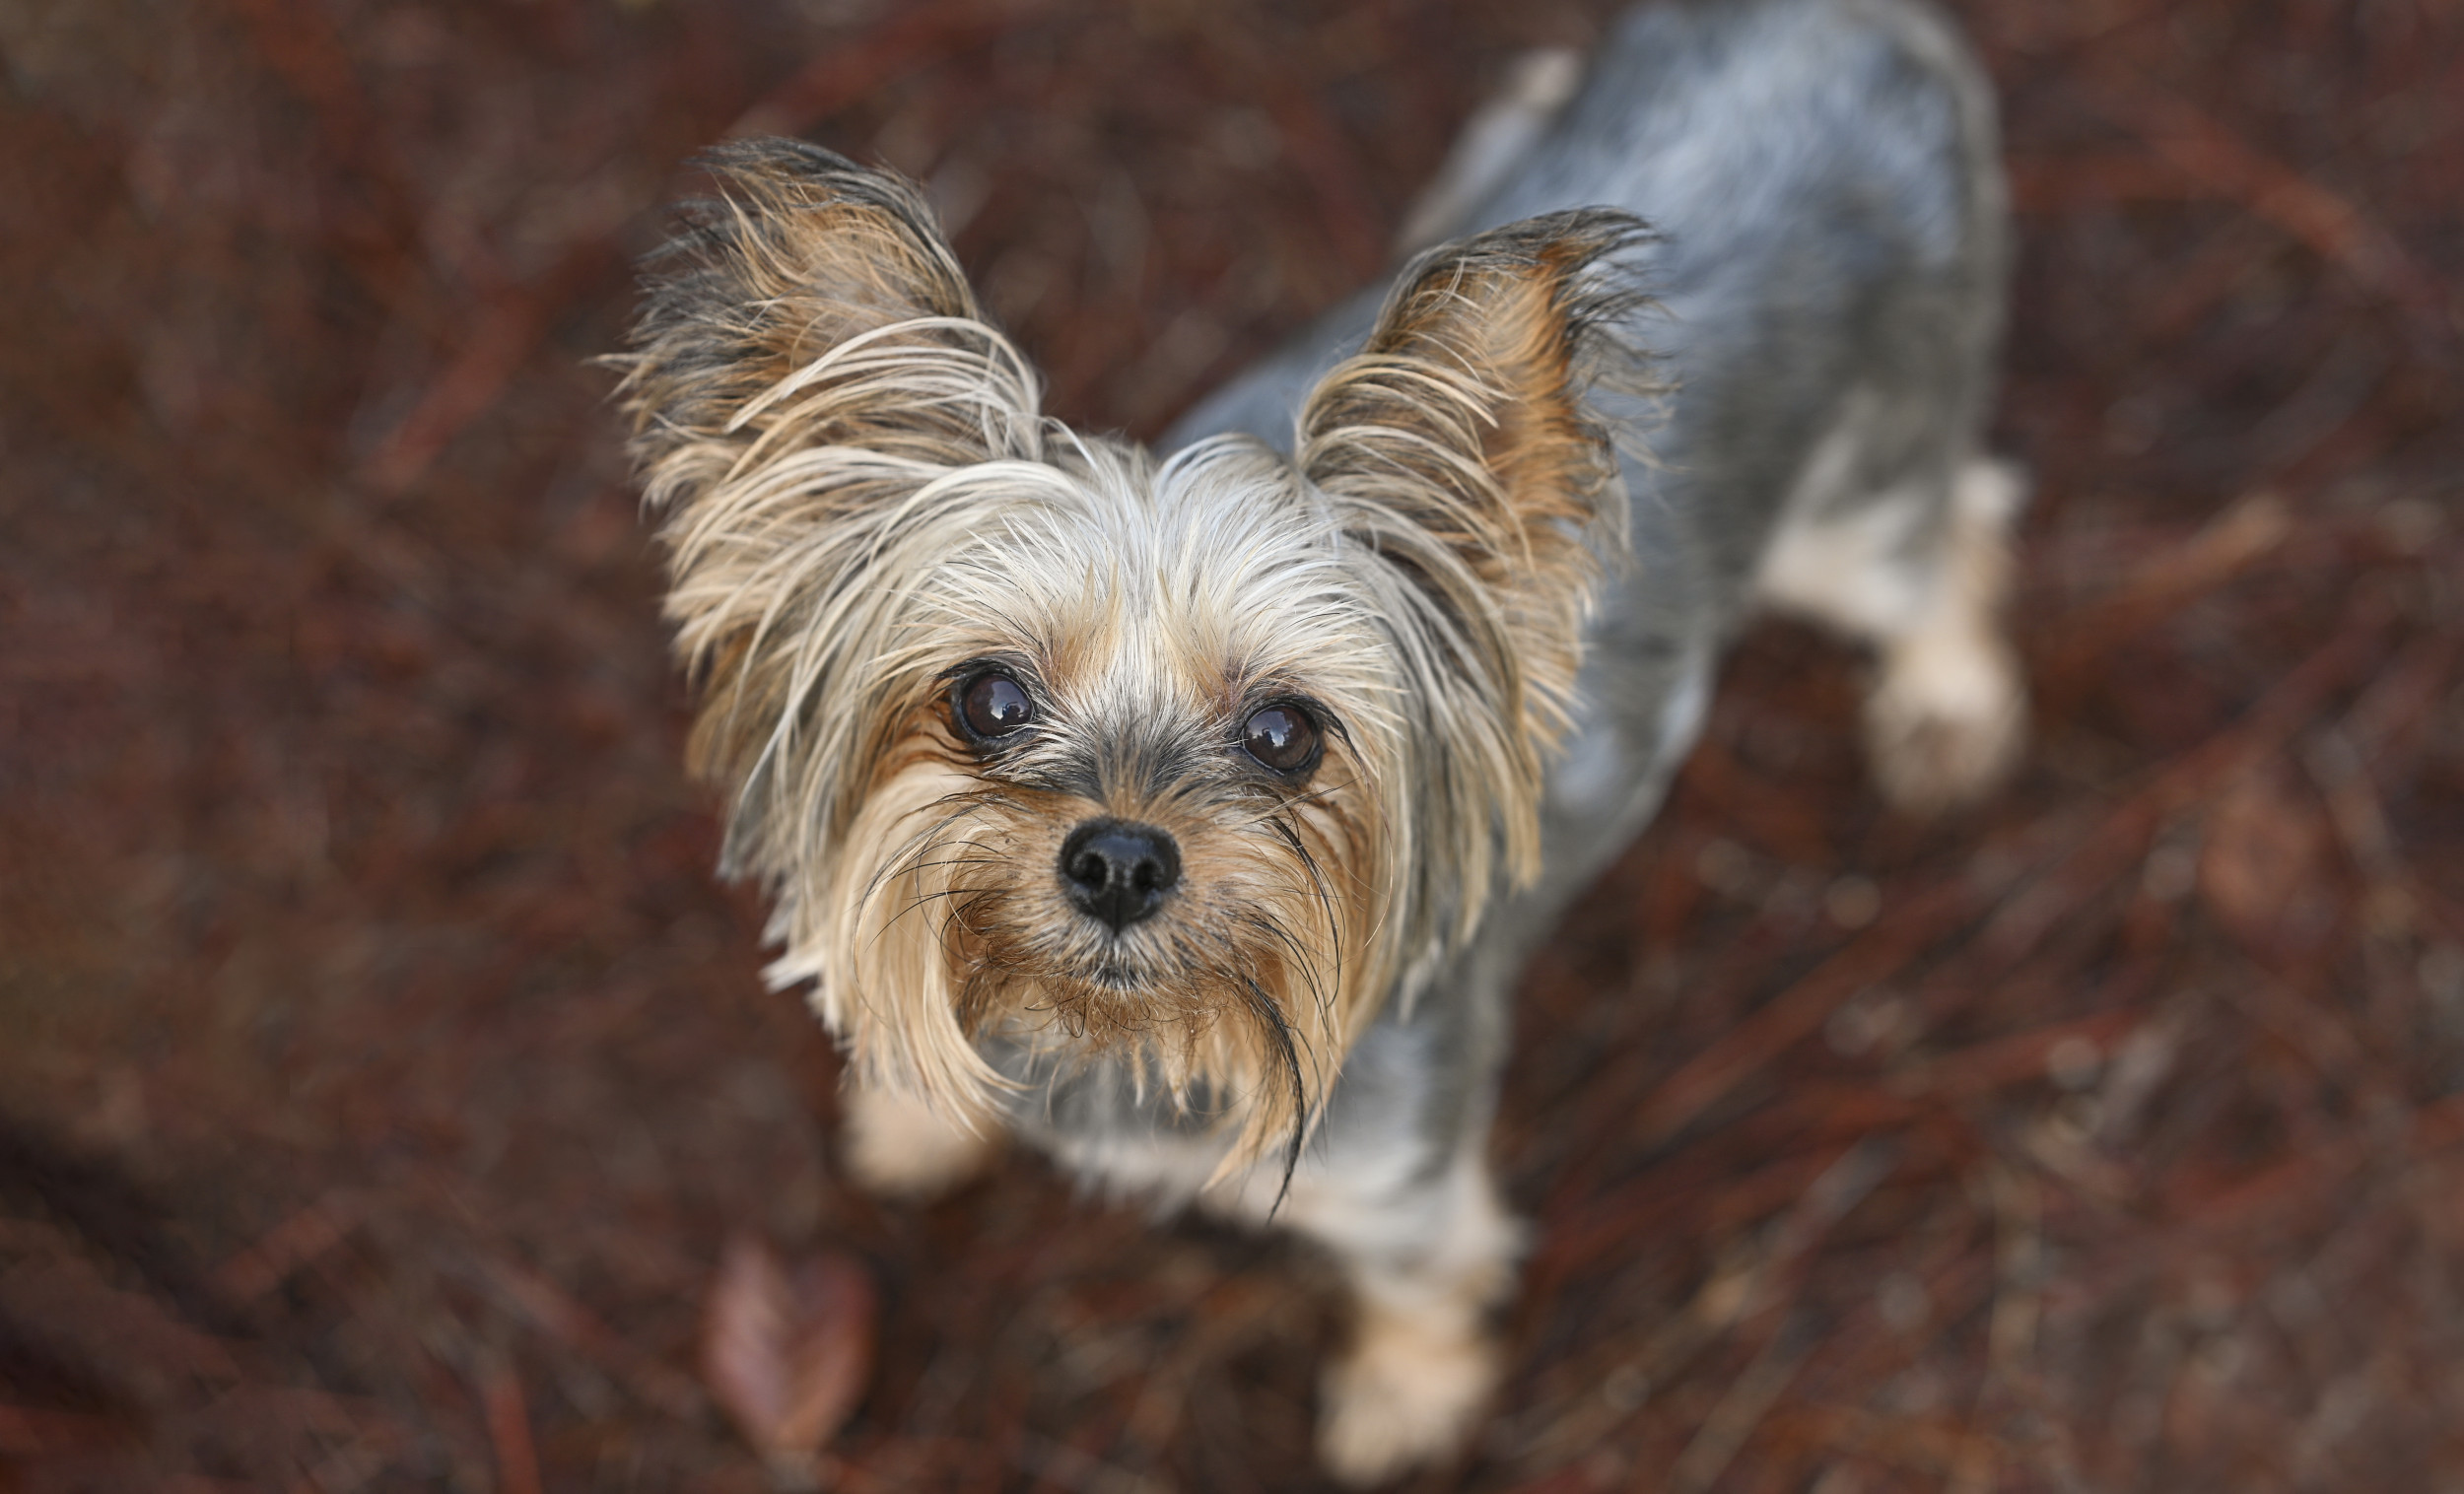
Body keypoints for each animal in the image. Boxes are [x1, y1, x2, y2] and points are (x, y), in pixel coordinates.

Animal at [611, 0, 2020, 1478]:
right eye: (986, 699)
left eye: (1288, 732)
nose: (1118, 860)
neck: (1123, 1037)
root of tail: (1838, 24)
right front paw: (914, 1112)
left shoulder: (1402, 1178)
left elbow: (1419, 1286)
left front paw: (1404, 1403)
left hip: (1861, 497)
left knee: (1957, 528)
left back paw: (1949, 709)